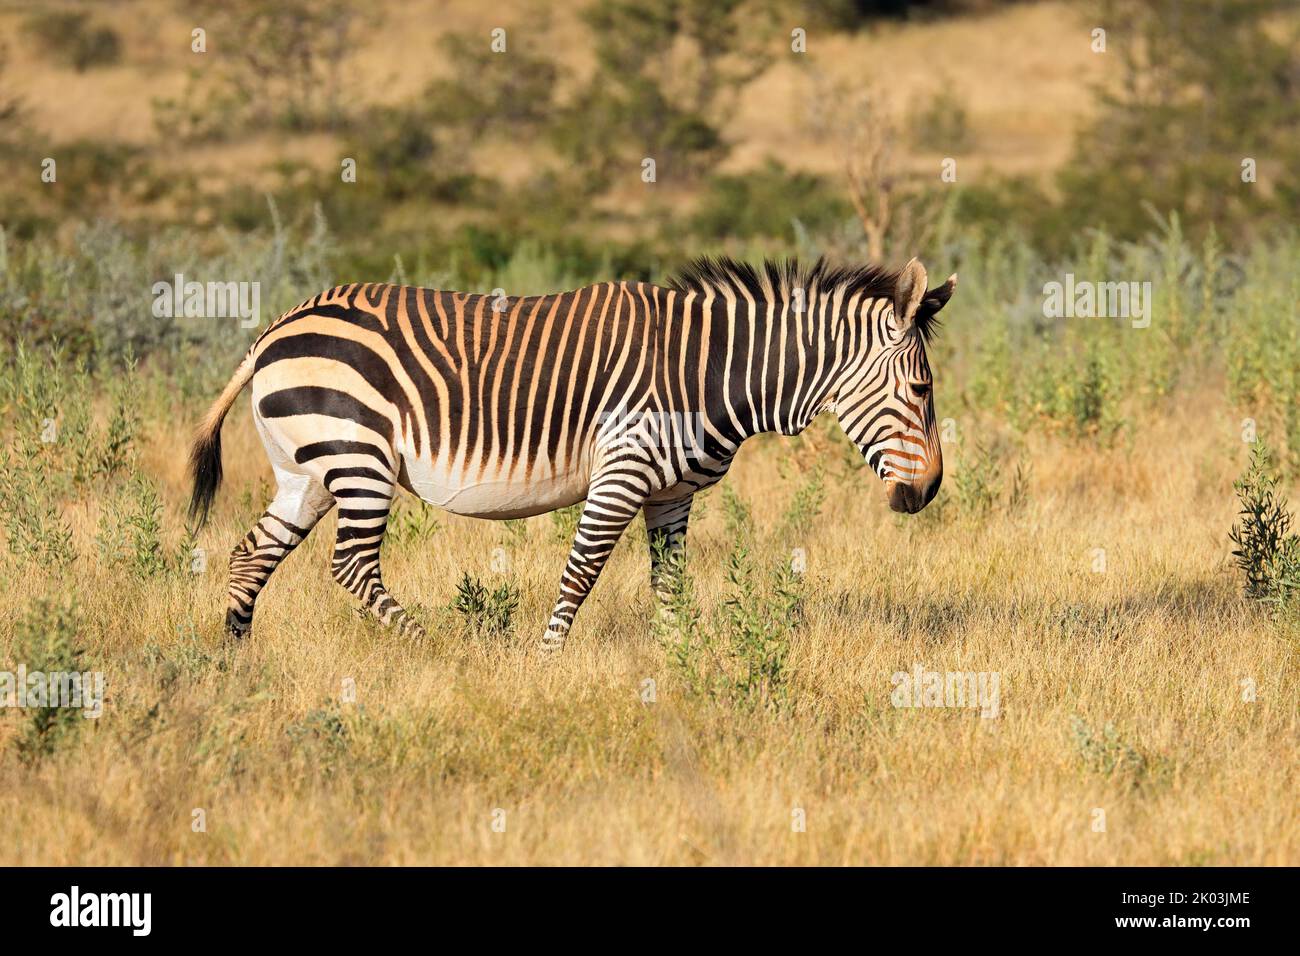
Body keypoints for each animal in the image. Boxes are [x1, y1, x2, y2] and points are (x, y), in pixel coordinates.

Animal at [185, 257, 956, 655]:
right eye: (921, 389)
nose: (928, 494)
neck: (707, 371)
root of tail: (276, 327)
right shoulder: (623, 470)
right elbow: (581, 573)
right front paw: (548, 662)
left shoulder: (670, 492)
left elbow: (669, 582)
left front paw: (681, 662)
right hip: (357, 455)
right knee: (350, 565)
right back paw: (438, 646)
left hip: (308, 471)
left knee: (251, 553)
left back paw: (236, 659)